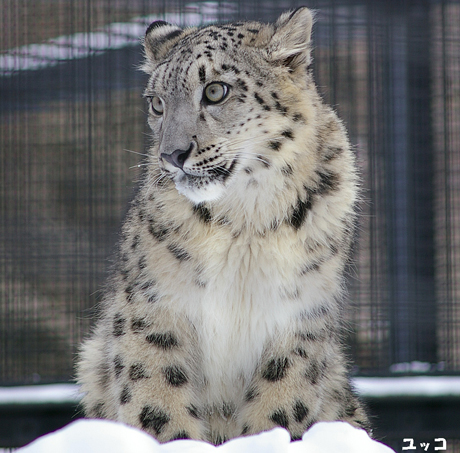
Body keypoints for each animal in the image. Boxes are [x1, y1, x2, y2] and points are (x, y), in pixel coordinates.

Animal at [75, 7, 370, 444]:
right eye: (157, 103)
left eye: (216, 91)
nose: (172, 154)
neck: (245, 219)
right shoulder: (156, 307)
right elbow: (157, 397)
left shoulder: (298, 316)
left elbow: (281, 400)